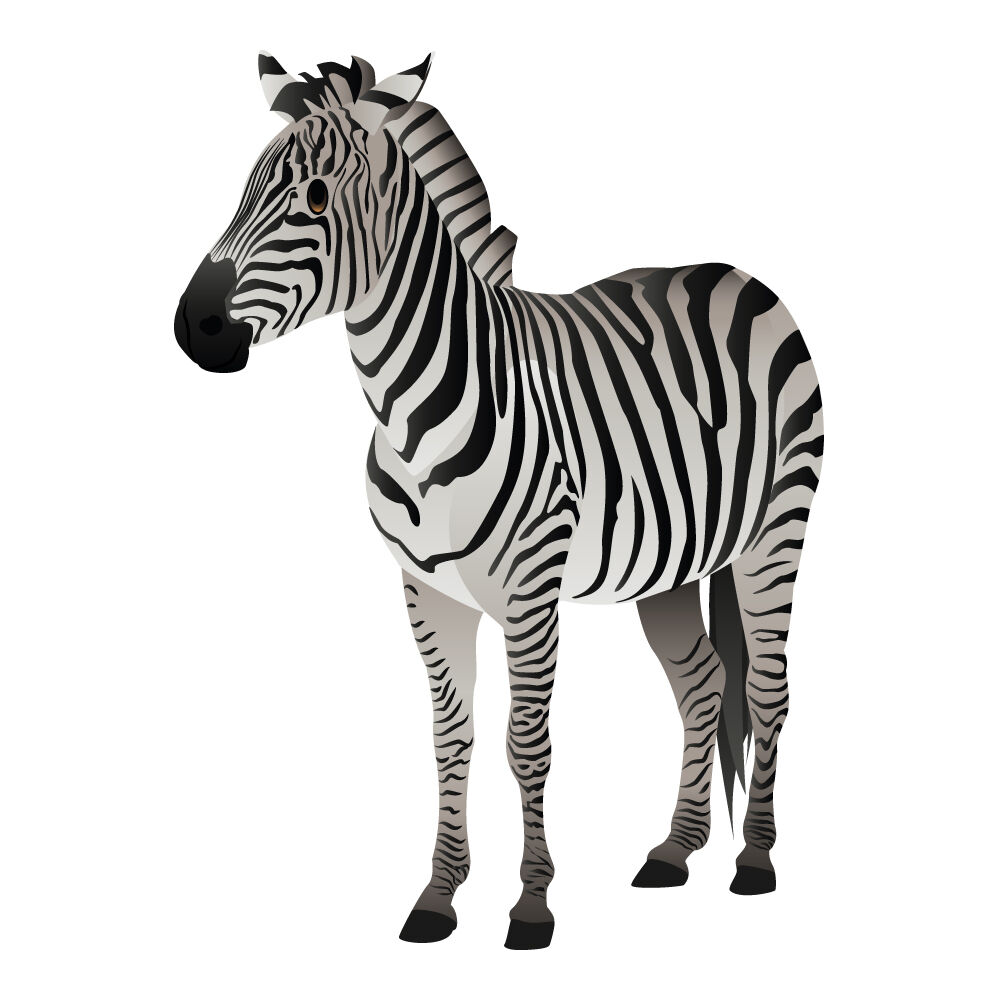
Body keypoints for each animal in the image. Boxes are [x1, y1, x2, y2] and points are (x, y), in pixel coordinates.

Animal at [175, 51, 824, 951]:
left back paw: (755, 860)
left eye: (314, 199)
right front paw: (438, 896)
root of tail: (738, 275)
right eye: (243, 192)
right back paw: (675, 849)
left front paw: (531, 904)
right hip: (671, 562)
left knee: (765, 687)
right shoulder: (426, 591)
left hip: (776, 532)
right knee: (702, 682)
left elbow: (527, 742)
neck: (412, 415)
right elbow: (452, 738)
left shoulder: (530, 589)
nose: (192, 327)